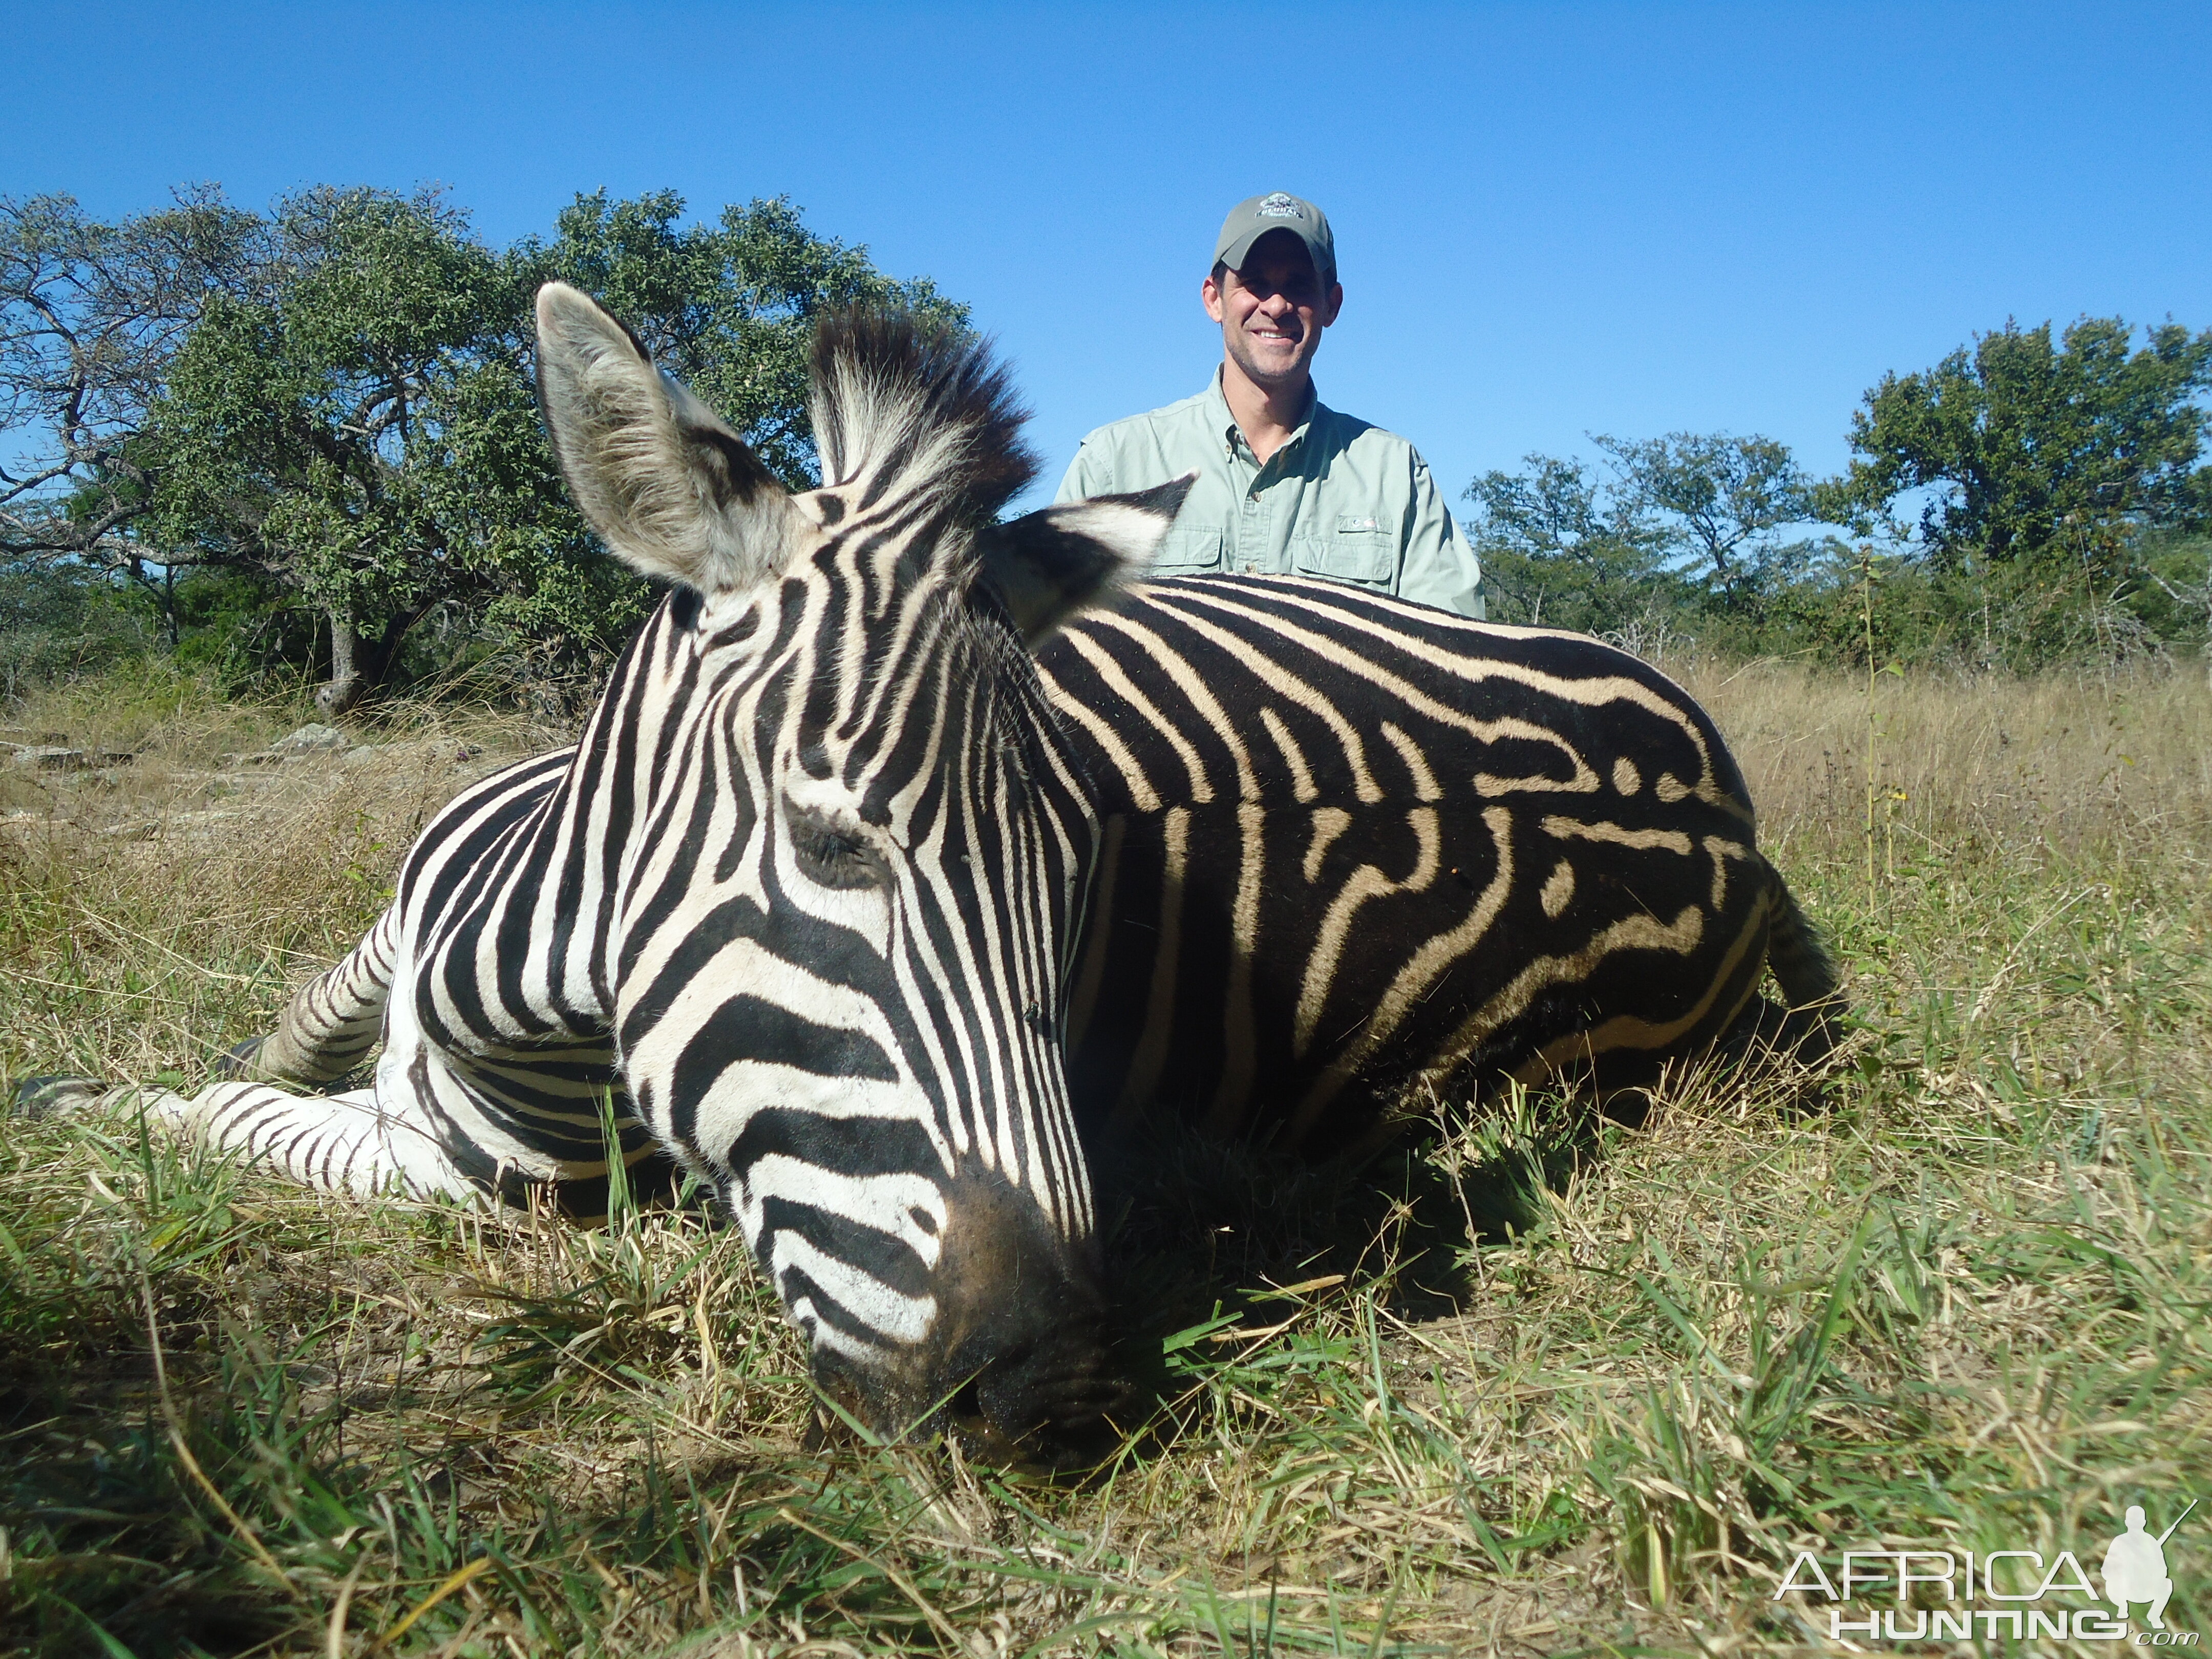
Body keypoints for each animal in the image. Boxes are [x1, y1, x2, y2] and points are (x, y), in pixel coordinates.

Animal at [17, 283, 1840, 1469]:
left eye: (1084, 872)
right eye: (832, 839)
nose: (1051, 1387)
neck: (503, 992)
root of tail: (1721, 810)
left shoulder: (477, 1190)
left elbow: (219, 1120)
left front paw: (78, 1108)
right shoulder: (400, 932)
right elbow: (275, 1046)